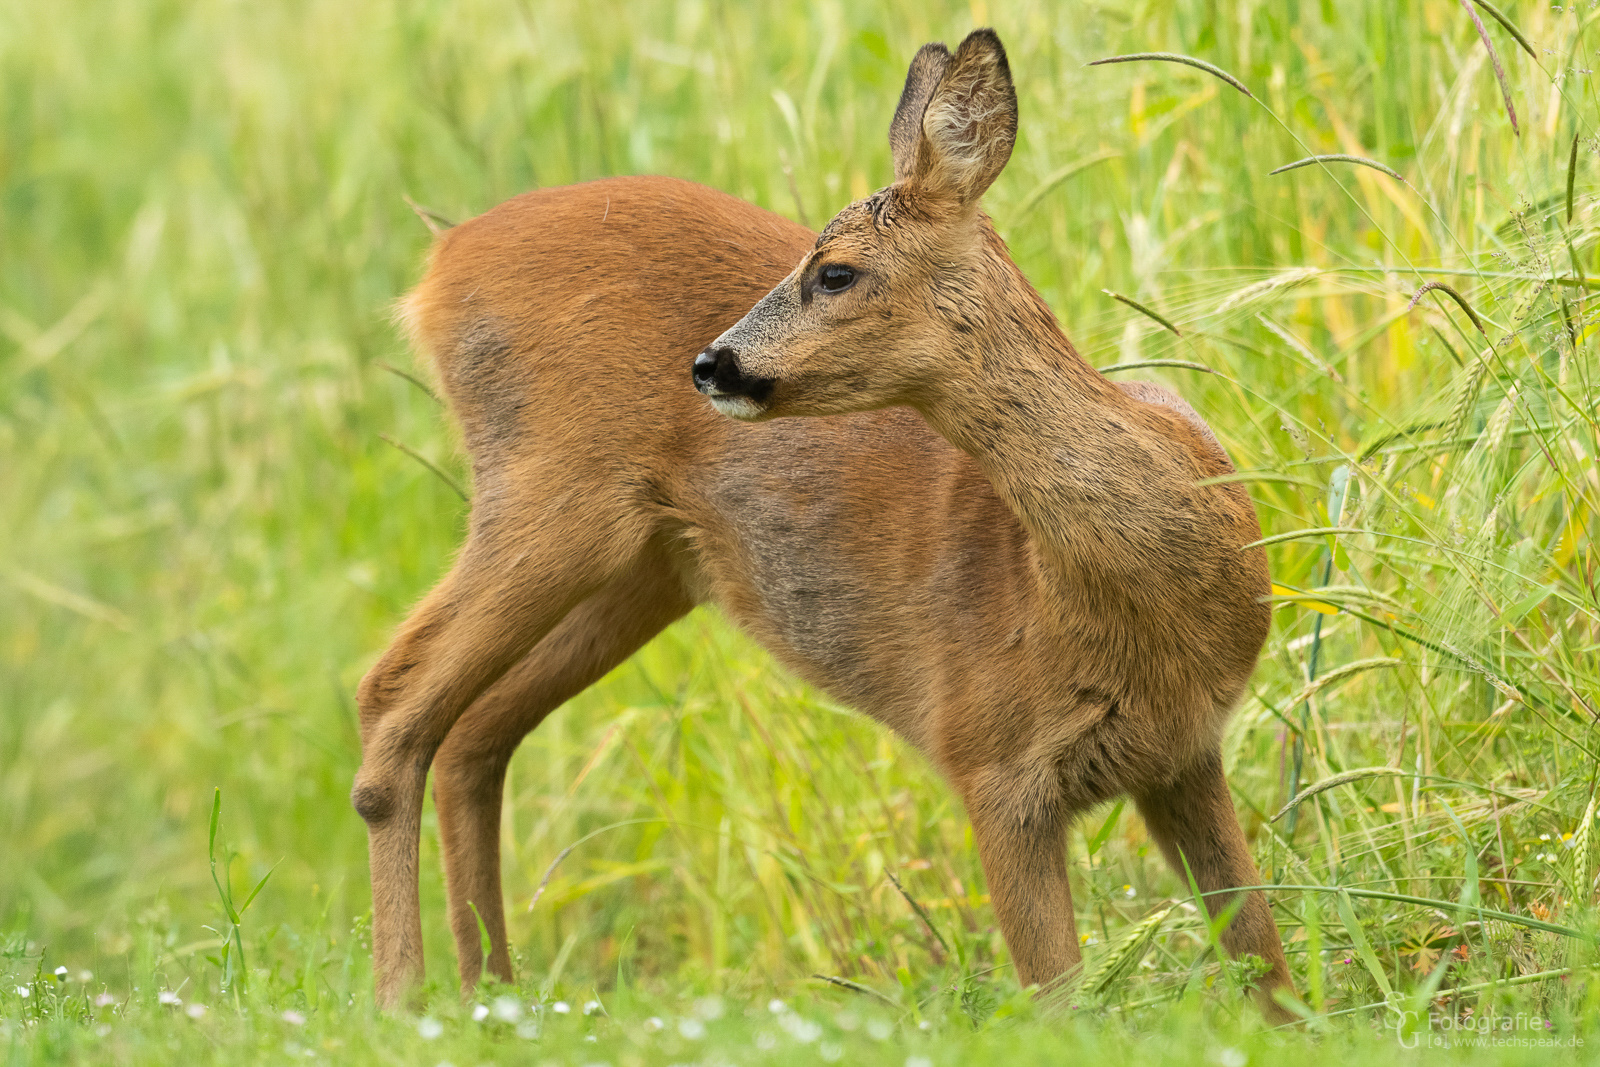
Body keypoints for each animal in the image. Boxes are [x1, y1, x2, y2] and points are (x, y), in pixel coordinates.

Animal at [353, 29, 1299, 1023]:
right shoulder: (990, 757)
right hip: (553, 491)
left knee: (473, 731)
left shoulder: (1183, 750)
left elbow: (1263, 955)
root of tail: (439, 264)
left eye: (834, 270)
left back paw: (491, 995)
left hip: (647, 566)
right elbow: (1058, 998)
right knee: (391, 693)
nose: (712, 363)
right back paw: (401, 997)